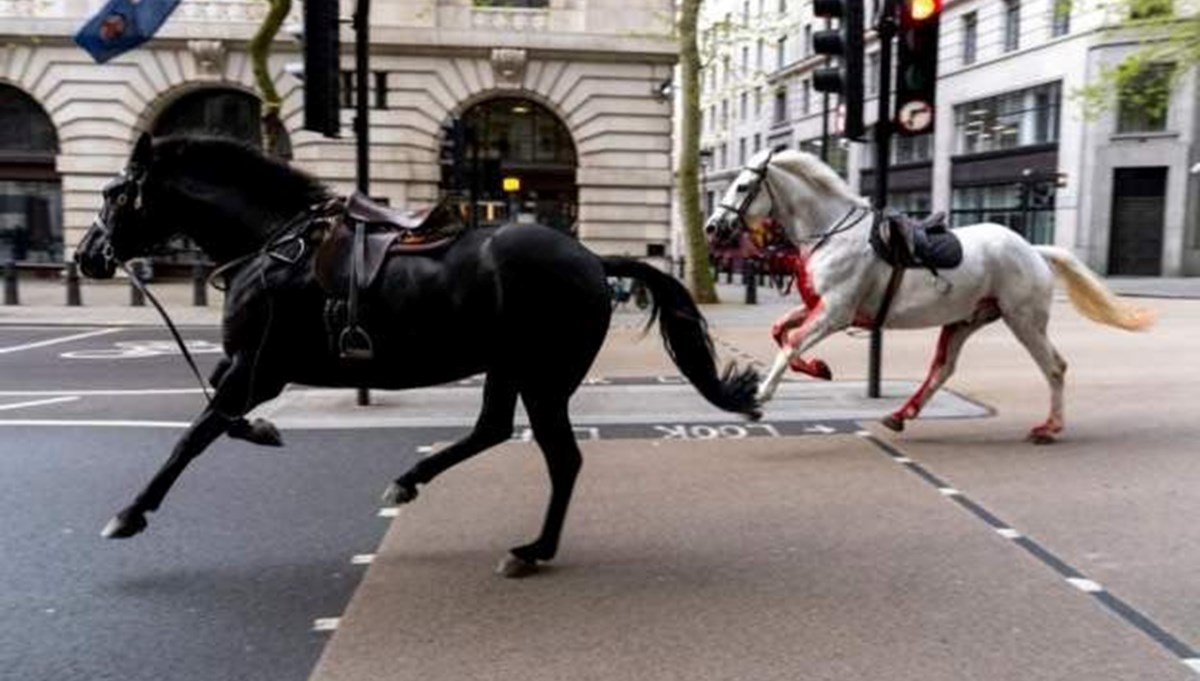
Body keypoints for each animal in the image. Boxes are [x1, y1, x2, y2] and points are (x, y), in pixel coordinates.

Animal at [75, 134, 758, 575]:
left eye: (114, 194)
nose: (86, 257)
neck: (273, 245)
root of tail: (592, 258)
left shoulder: (259, 367)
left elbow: (195, 434)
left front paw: (130, 513)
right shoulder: (246, 365)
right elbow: (217, 415)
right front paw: (264, 431)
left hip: (542, 376)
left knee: (561, 458)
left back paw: (533, 549)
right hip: (510, 367)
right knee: (492, 430)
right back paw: (414, 482)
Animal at [700, 148, 1152, 443]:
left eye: (742, 186)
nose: (711, 227)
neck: (831, 232)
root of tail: (1033, 250)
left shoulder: (836, 312)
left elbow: (791, 341)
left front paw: (759, 395)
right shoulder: (820, 307)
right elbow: (781, 332)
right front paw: (817, 368)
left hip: (1023, 320)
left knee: (1054, 367)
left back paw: (1050, 427)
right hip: (965, 320)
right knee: (942, 370)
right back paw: (902, 415)